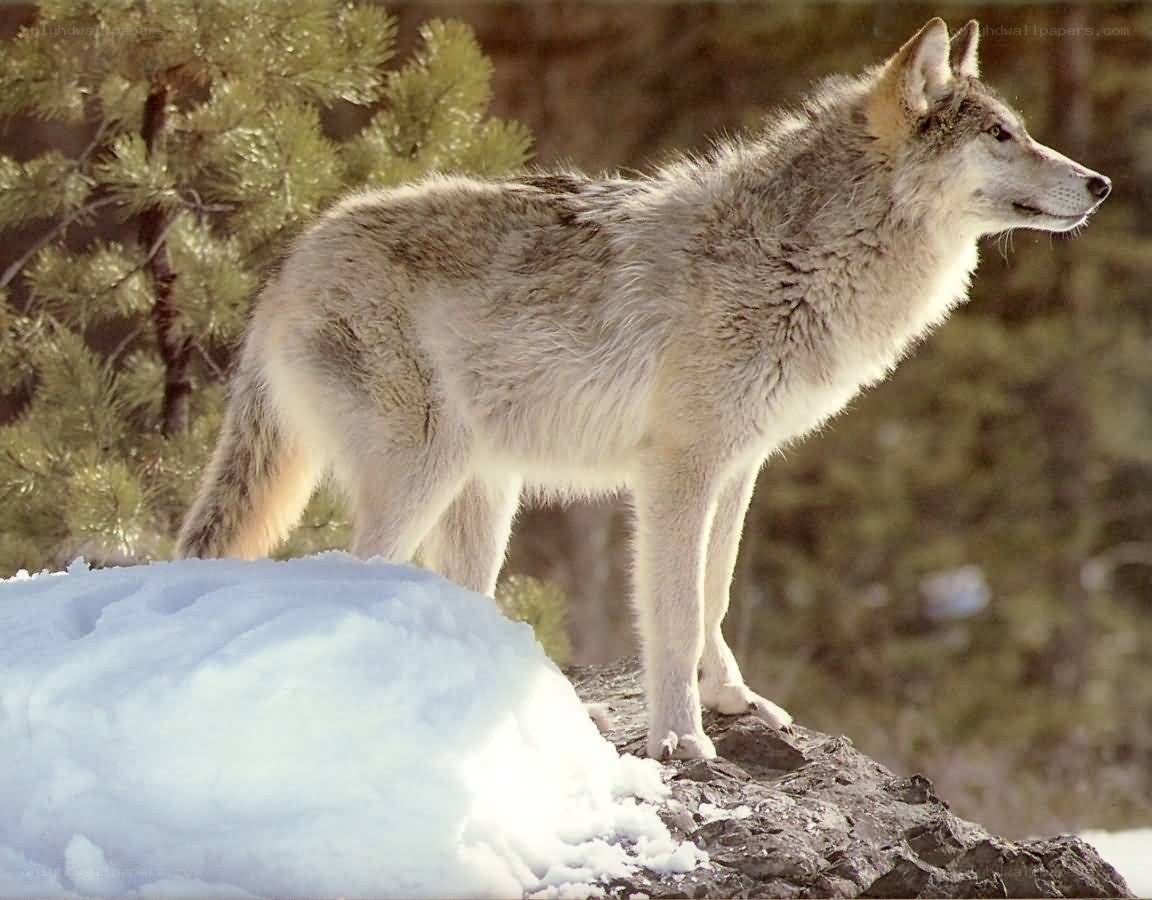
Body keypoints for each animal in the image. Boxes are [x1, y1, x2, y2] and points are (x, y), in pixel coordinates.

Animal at [177, 18, 1110, 759]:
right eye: (1001, 135)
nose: (1101, 183)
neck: (798, 257)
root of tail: (286, 266)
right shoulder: (675, 472)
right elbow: (673, 611)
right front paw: (681, 739)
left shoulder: (739, 467)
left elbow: (716, 594)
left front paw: (734, 701)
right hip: (424, 474)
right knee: (352, 575)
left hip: (486, 495)